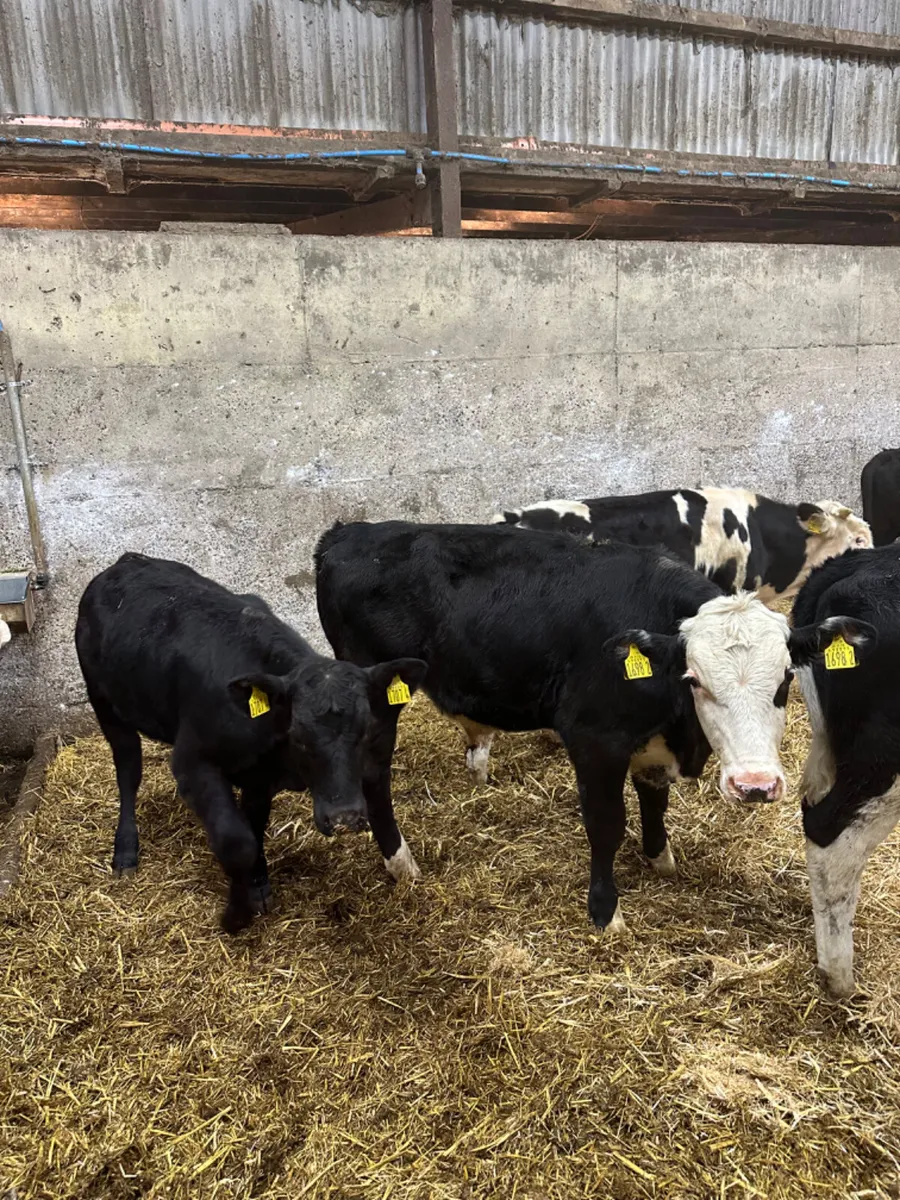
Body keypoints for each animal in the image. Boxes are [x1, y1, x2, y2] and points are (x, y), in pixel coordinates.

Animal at [75, 553, 426, 933]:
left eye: (365, 731)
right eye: (298, 736)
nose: (345, 818)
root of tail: (126, 561)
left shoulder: (259, 778)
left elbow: (253, 828)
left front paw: (257, 885)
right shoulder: (192, 762)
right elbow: (237, 841)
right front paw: (236, 913)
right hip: (105, 703)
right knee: (128, 770)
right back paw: (125, 850)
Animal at [315, 521, 853, 933]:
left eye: (786, 678)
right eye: (695, 679)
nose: (755, 785)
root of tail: (347, 533)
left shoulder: (649, 743)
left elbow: (654, 799)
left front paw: (660, 859)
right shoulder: (594, 740)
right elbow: (606, 825)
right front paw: (606, 913)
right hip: (378, 697)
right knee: (373, 775)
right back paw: (400, 863)